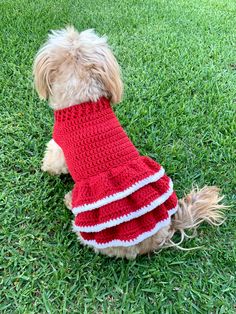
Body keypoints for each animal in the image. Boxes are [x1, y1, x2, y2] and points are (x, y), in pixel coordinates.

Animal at [32, 26, 225, 258]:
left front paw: (46, 169)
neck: (84, 99)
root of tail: (162, 235)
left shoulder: (58, 147)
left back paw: (70, 201)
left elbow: (52, 162)